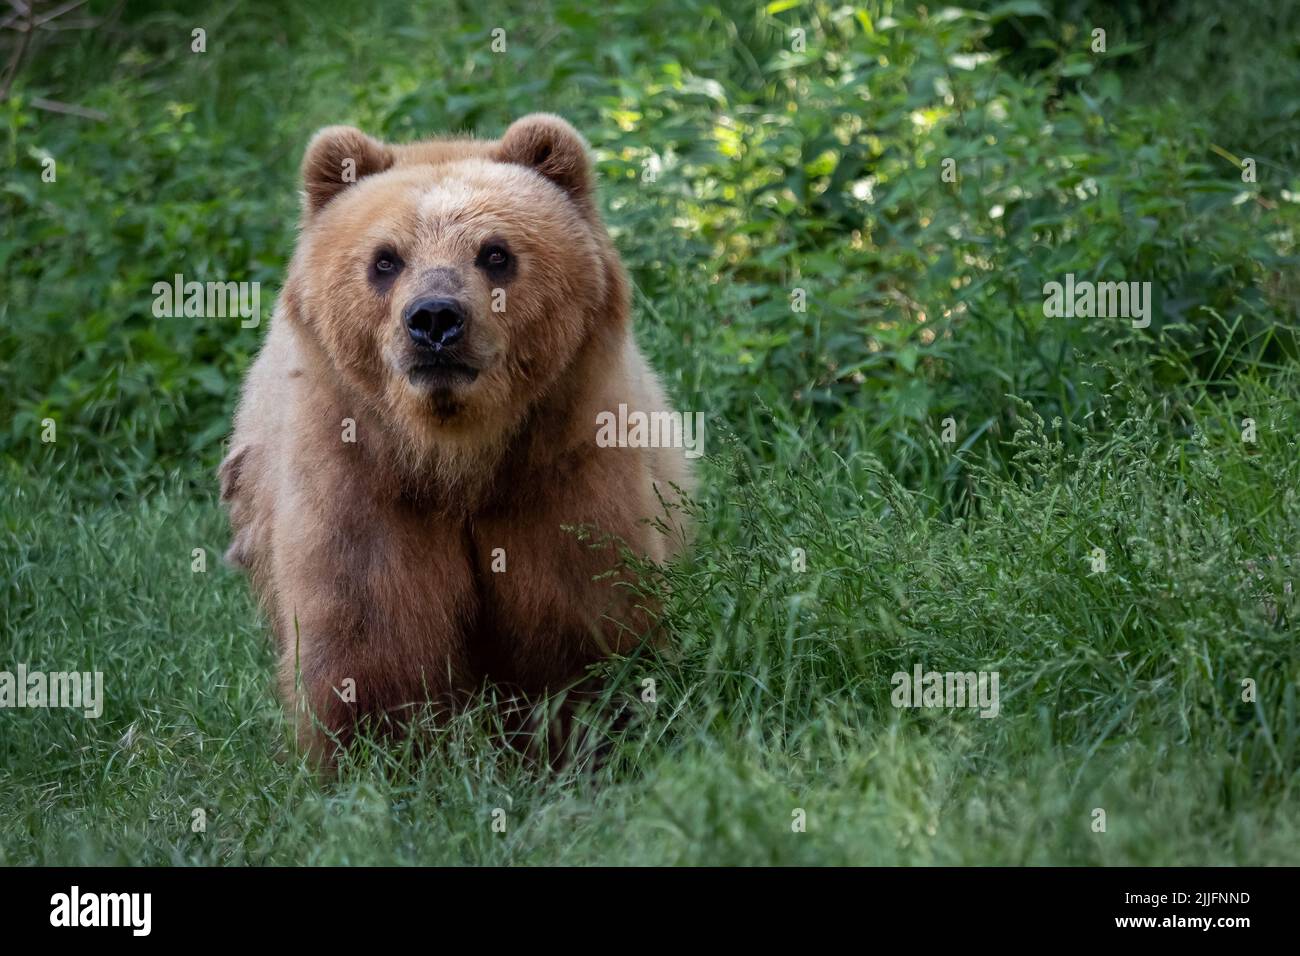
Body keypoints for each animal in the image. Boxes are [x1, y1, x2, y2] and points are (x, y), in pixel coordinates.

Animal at [219, 113, 694, 764]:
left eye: (495, 253)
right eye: (385, 259)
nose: (435, 318)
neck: (456, 458)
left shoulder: (560, 471)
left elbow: (585, 614)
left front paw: (592, 738)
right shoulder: (362, 484)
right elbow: (370, 640)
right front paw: (382, 756)